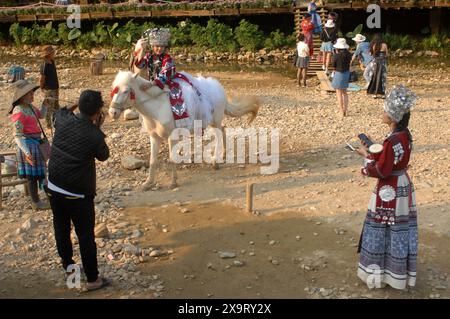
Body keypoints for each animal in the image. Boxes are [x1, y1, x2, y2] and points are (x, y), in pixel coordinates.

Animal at [107, 71, 260, 191]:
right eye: (114, 90)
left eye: (126, 91)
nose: (112, 112)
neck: (157, 107)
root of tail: (219, 87)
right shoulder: (154, 137)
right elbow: (153, 160)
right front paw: (148, 183)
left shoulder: (171, 137)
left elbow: (172, 158)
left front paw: (173, 183)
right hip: (213, 122)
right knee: (223, 131)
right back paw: (221, 156)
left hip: (215, 120)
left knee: (218, 134)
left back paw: (215, 162)